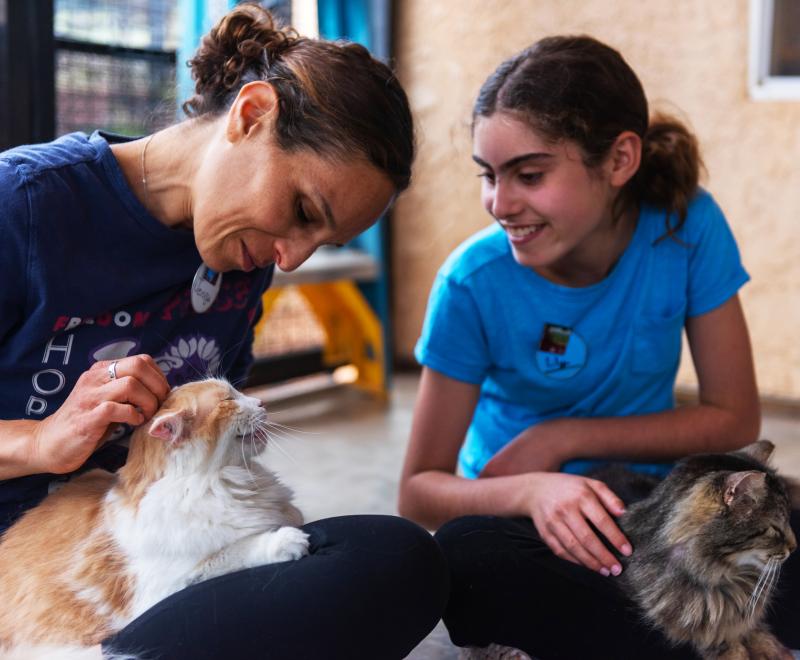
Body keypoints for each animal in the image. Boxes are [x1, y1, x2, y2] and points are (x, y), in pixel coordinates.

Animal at [0, 376, 310, 660]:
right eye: (228, 400)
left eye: (237, 392)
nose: (261, 402)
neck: (219, 482)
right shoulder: (166, 585)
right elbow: (231, 552)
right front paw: (284, 541)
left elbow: (292, 514)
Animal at [608, 440, 796, 656]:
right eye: (776, 529)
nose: (795, 547)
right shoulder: (707, 636)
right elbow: (729, 647)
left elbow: (757, 633)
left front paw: (773, 649)